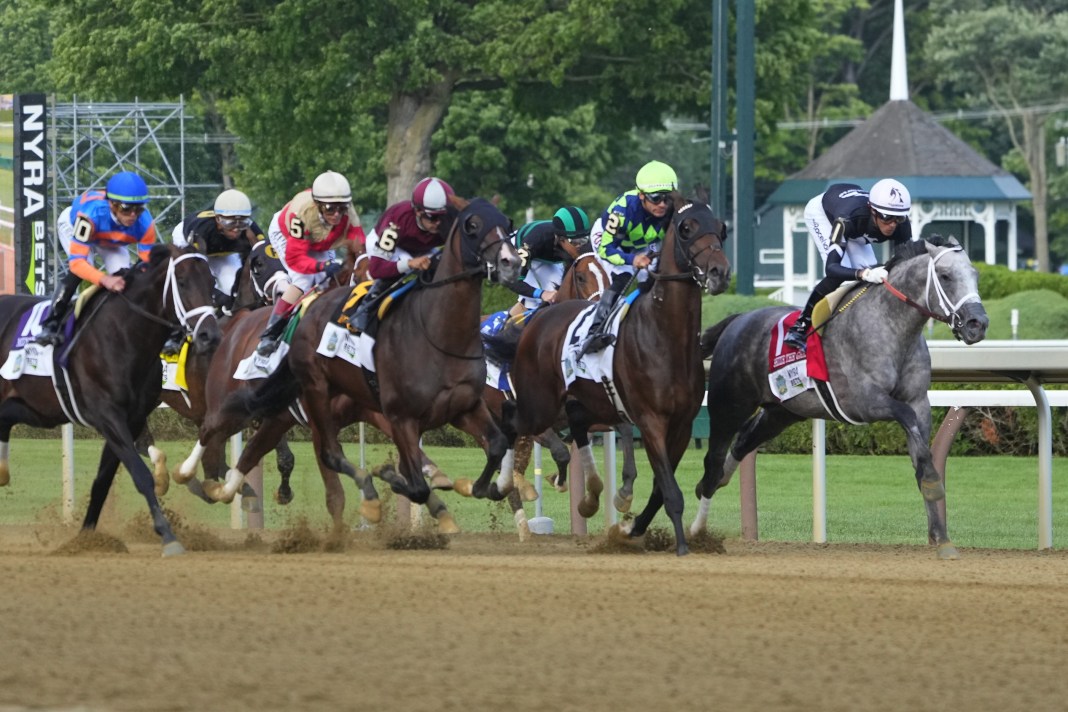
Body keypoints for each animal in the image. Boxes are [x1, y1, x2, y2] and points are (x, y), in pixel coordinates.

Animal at [0, 244, 221, 556]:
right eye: (182, 281)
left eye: (212, 282)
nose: (209, 335)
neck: (123, 334)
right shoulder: (107, 415)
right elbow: (140, 474)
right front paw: (168, 535)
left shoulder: (130, 419)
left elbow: (102, 481)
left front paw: (86, 539)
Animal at [192, 195, 522, 515]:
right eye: (472, 226)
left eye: (507, 224)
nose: (511, 262)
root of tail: (238, 323)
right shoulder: (367, 416)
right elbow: (352, 486)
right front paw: (386, 483)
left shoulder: (427, 408)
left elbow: (491, 447)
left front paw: (466, 485)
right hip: (243, 401)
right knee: (213, 432)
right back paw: (195, 478)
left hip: (278, 416)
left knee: (248, 453)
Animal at [497, 197, 731, 555]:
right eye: (686, 228)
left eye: (721, 228)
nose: (720, 272)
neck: (665, 335)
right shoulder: (650, 420)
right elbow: (669, 489)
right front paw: (680, 545)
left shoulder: (680, 424)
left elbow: (660, 487)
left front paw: (629, 526)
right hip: (539, 405)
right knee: (514, 424)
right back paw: (505, 486)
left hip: (578, 404)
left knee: (570, 431)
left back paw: (582, 498)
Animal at [689, 235, 989, 559]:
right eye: (945, 276)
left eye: (975, 274)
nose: (978, 323)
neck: (890, 326)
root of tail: (738, 320)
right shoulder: (863, 402)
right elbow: (906, 421)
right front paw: (934, 485)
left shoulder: (919, 402)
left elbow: (921, 455)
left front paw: (942, 537)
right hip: (728, 404)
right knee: (714, 458)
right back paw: (696, 530)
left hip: (782, 411)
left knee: (743, 442)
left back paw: (716, 484)